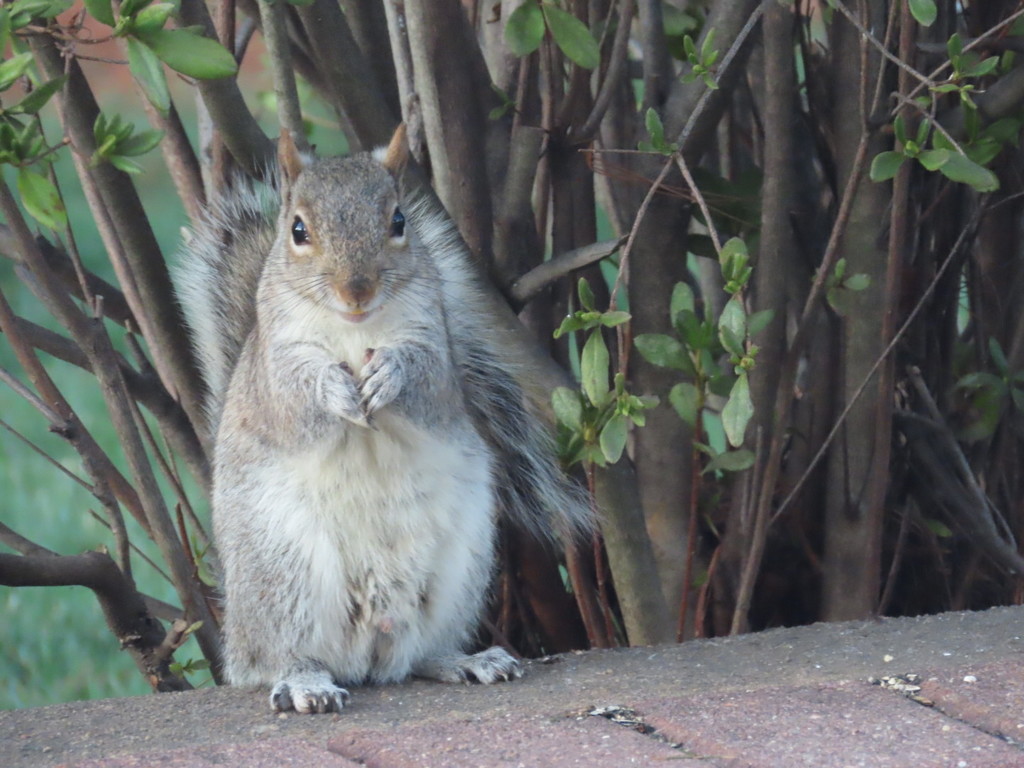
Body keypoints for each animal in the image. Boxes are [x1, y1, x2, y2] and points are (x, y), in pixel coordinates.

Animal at [178, 124, 593, 716]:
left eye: (398, 222)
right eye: (298, 230)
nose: (357, 289)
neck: (355, 332)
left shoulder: (437, 351)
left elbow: (425, 379)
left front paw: (390, 375)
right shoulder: (274, 371)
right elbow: (297, 398)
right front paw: (334, 390)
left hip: (460, 570)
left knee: (417, 656)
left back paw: (465, 661)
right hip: (284, 574)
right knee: (284, 657)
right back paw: (306, 683)